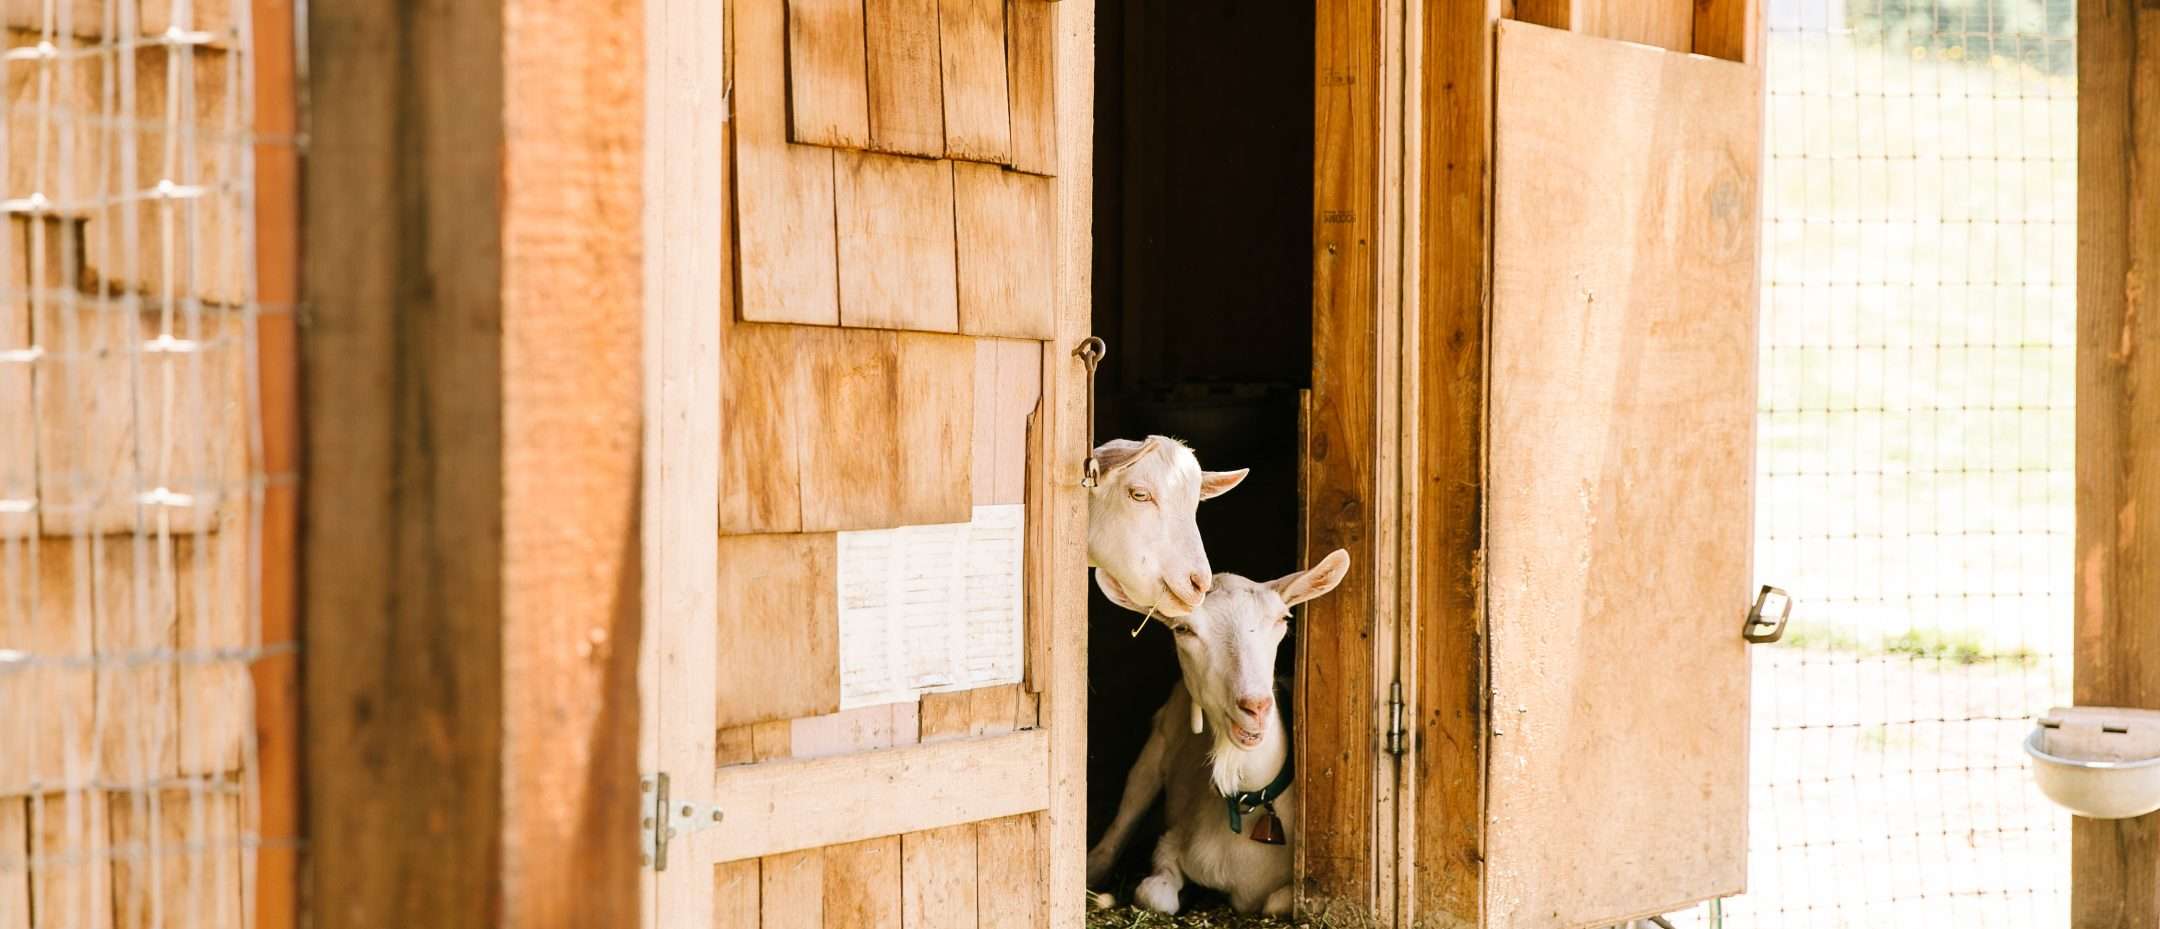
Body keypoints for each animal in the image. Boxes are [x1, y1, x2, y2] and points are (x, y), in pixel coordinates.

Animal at [1085, 549, 1352, 915]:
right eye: (1183, 629)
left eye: (1283, 619)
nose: (1255, 707)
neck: (1249, 799)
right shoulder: (1172, 842)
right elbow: (1156, 895)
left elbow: (1274, 902)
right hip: (1154, 749)